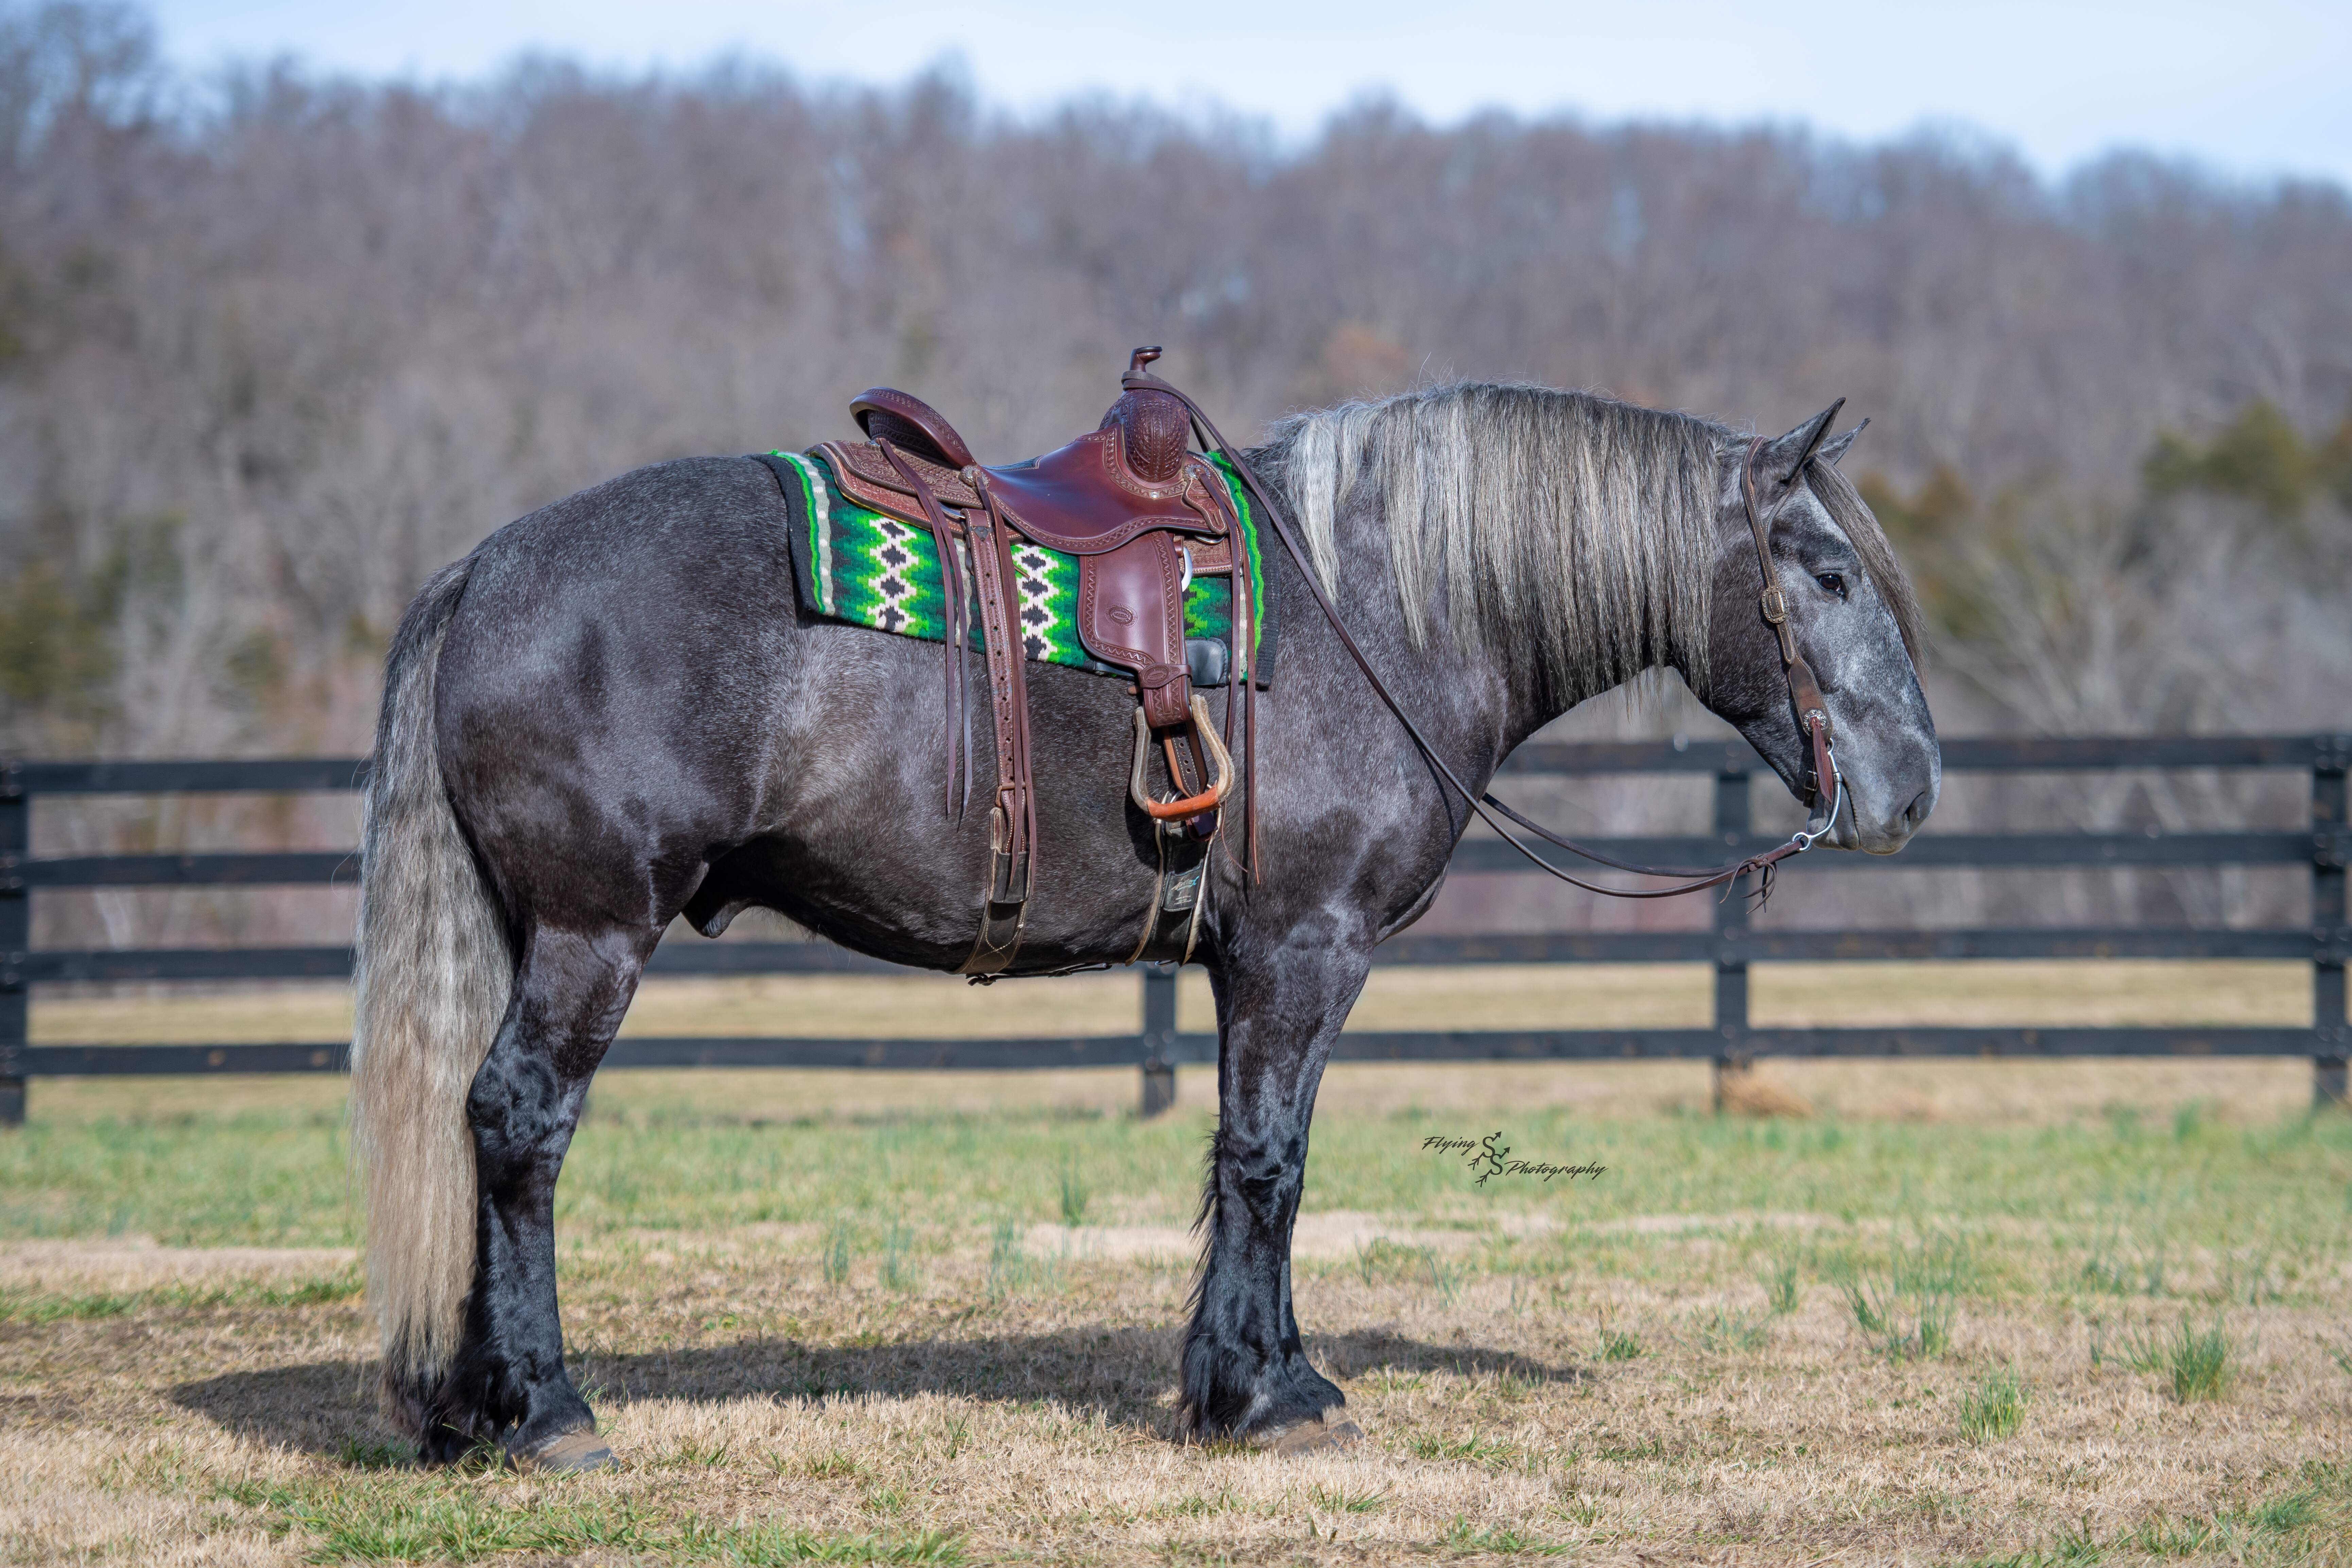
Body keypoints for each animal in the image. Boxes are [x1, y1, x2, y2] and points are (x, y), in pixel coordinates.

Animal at [349, 379, 1939, 1469]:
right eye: (1829, 574)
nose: (1913, 786)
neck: (1377, 607)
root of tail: (486, 566)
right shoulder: (1303, 949)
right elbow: (1269, 1162)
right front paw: (1267, 1394)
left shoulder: (1253, 965)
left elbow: (1257, 1157)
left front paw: (1251, 1373)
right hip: (593, 932)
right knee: (518, 1122)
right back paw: (547, 1409)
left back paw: (468, 1404)